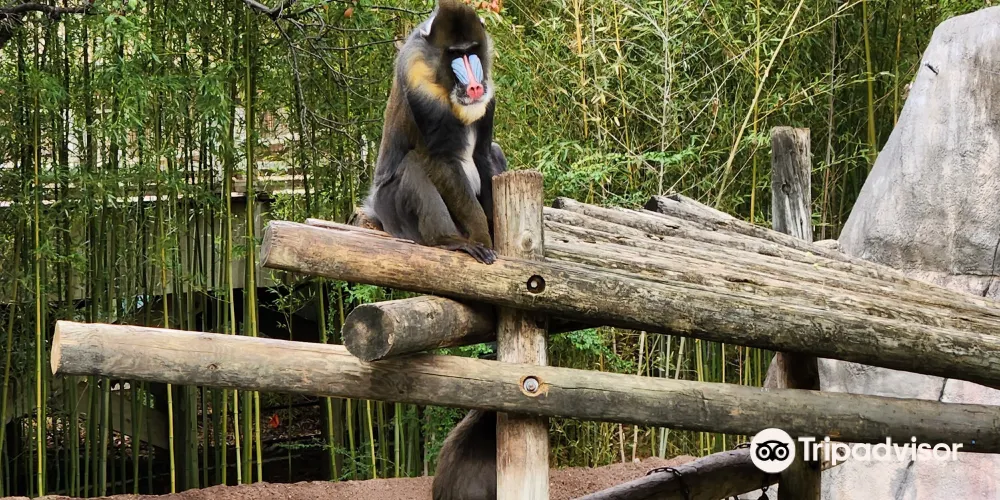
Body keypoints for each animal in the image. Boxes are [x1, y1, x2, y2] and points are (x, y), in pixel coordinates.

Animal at [361, 0, 507, 265]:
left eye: (471, 50)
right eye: (454, 54)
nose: (474, 87)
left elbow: (483, 154)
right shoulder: (418, 78)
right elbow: (441, 159)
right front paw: (482, 239)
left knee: (496, 150)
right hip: (393, 211)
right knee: (414, 163)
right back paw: (449, 240)